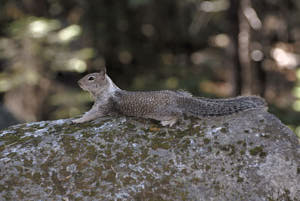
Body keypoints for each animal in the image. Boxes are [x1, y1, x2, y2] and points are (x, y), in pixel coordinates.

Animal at [72, 69, 268, 125]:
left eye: (91, 78)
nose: (78, 82)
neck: (105, 92)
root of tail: (179, 98)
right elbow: (89, 112)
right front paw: (78, 117)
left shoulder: (105, 106)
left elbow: (92, 115)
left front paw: (77, 121)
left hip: (161, 111)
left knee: (179, 115)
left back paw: (169, 122)